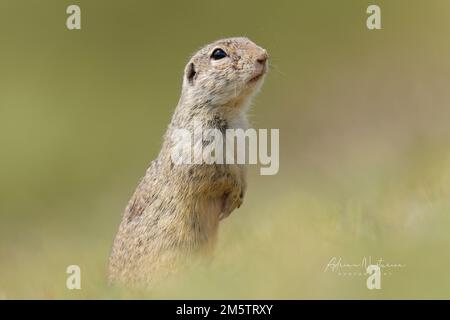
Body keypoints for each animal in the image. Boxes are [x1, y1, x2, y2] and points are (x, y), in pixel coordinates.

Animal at [108, 37, 268, 288]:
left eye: (248, 39)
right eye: (218, 54)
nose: (263, 56)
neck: (231, 111)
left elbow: (242, 171)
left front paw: (240, 196)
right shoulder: (200, 149)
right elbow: (218, 175)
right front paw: (232, 198)